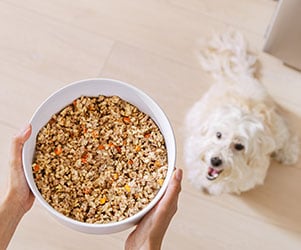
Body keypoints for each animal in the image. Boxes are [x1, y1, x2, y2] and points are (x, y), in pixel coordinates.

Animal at [183, 30, 298, 195]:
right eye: (218, 135)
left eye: (239, 146)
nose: (215, 160)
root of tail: (242, 75)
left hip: (278, 130)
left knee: (287, 133)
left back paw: (288, 154)